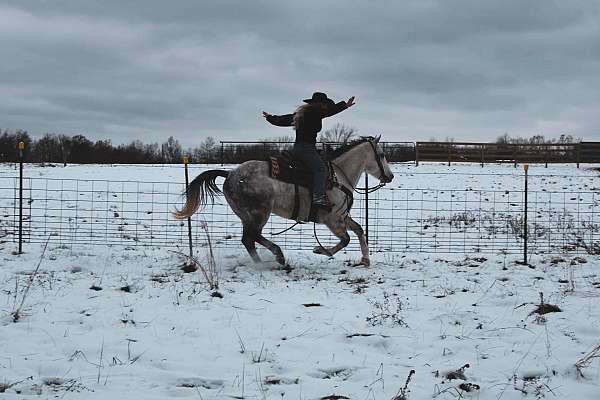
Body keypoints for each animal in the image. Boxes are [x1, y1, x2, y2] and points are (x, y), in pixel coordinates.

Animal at [173, 136, 394, 268]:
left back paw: (263, 262)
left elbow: (359, 230)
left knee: (249, 239)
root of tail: (230, 174)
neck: (338, 176)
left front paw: (365, 259)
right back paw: (276, 257)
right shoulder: (332, 219)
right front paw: (320, 250)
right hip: (259, 213)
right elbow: (346, 239)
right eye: (382, 155)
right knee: (252, 237)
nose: (390, 176)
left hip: (247, 215)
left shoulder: (342, 216)